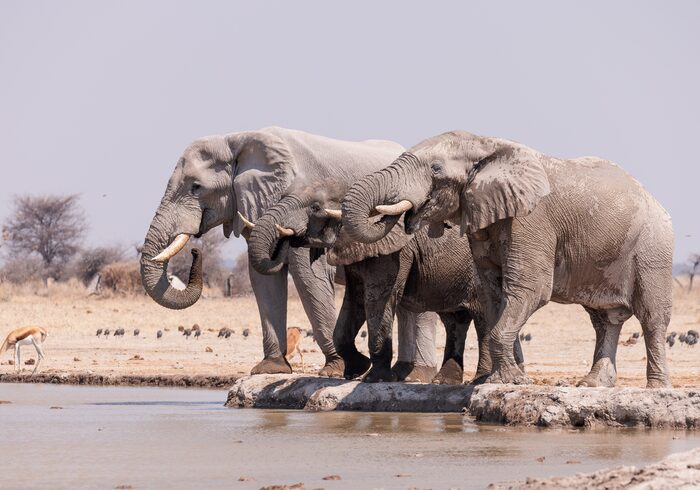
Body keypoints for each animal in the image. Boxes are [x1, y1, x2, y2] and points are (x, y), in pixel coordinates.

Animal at [140, 127, 405, 376]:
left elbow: (310, 278)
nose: (195, 250)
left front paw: (337, 369)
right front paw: (270, 368)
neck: (237, 140)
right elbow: (262, 278)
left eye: (196, 187)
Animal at [247, 179, 523, 383]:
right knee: (455, 321)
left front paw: (374, 378)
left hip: (482, 272)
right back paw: (445, 381)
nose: (287, 238)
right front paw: (356, 370)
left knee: (482, 318)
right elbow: (354, 304)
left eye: (315, 207)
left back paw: (481, 379)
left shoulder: (391, 250)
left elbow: (377, 300)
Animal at [342, 130, 674, 388]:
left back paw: (656, 388)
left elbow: (529, 289)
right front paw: (501, 379)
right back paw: (592, 384)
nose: (400, 216)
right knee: (604, 319)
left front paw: (512, 381)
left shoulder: (532, 219)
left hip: (653, 248)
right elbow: (495, 292)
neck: (487, 145)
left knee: (652, 316)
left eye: (435, 168)